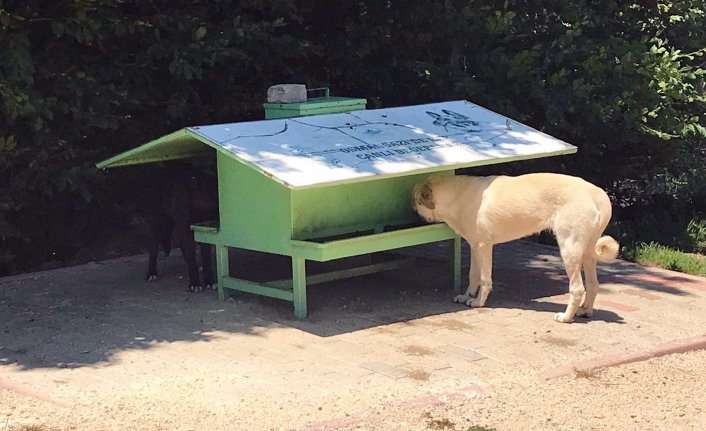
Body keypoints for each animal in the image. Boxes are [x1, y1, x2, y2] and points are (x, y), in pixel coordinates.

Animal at [145, 163, 217, 294]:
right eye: (216, 194)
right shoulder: (187, 231)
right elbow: (192, 257)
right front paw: (195, 284)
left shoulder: (202, 231)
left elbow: (206, 259)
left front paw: (209, 281)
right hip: (159, 222)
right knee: (153, 247)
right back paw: (151, 273)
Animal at [410, 174, 620, 322]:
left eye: (417, 202)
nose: (413, 214)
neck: (458, 196)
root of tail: (598, 194)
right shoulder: (474, 246)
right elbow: (473, 275)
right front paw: (466, 296)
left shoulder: (484, 246)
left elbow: (484, 279)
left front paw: (478, 302)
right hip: (586, 253)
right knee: (593, 284)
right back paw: (585, 311)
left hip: (569, 249)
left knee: (577, 288)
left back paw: (566, 317)